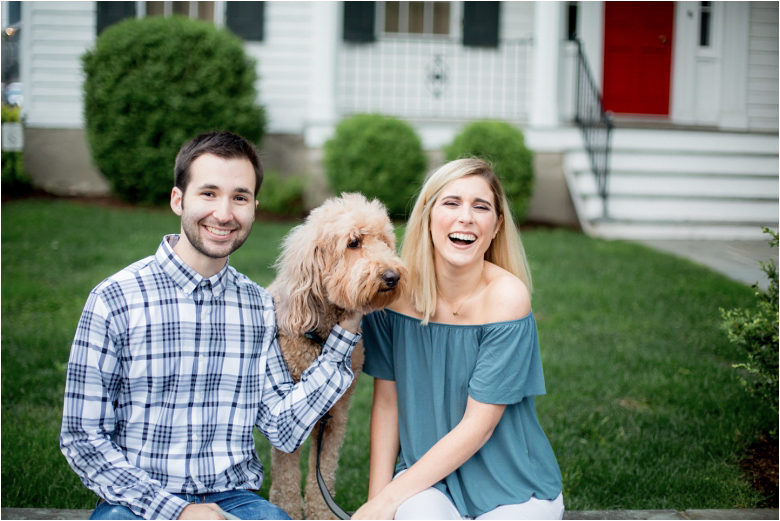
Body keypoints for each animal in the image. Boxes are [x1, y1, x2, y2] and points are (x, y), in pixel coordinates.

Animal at [266, 192, 406, 520]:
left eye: (385, 242)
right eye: (353, 243)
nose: (392, 276)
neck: (321, 338)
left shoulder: (335, 418)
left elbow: (323, 476)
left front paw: (321, 515)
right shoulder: (287, 414)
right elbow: (288, 478)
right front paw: (288, 512)